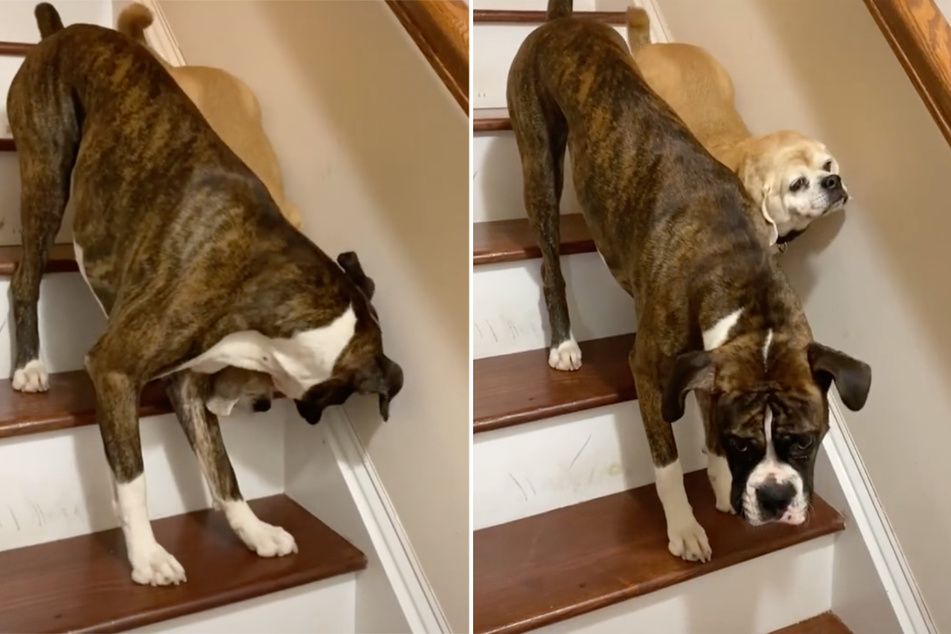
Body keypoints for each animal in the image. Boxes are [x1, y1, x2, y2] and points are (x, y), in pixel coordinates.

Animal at [8, 4, 402, 584]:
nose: (270, 408)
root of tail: (61, 31)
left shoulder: (187, 383)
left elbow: (223, 473)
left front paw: (255, 532)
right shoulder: (115, 369)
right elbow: (133, 478)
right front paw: (146, 556)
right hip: (47, 175)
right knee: (23, 278)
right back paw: (29, 368)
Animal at [510, 1, 872, 564]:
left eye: (806, 441)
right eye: (745, 443)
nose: (775, 497)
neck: (741, 266)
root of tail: (562, 22)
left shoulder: (707, 361)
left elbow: (705, 413)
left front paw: (721, 484)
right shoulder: (649, 371)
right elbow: (668, 463)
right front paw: (684, 526)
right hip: (540, 166)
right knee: (550, 263)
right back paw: (564, 345)